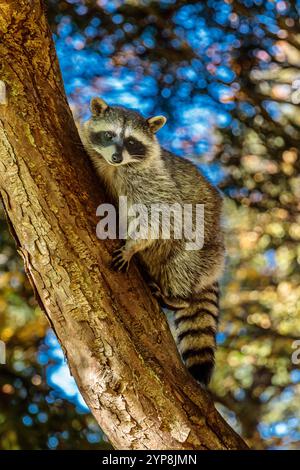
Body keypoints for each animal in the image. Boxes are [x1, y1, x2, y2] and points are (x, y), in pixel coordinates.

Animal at [79, 97, 225, 388]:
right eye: (109, 135)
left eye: (132, 142)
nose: (116, 156)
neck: (116, 167)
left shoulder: (155, 182)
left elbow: (159, 216)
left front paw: (132, 246)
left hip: (205, 245)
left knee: (184, 262)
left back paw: (177, 297)